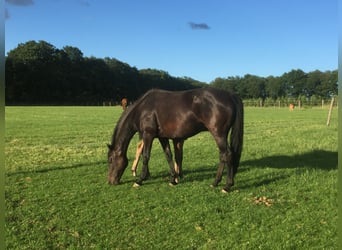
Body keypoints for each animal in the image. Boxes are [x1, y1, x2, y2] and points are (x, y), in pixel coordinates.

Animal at [107, 87, 243, 192]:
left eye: (110, 160)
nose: (110, 182)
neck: (142, 109)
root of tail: (230, 95)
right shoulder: (162, 137)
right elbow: (169, 156)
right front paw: (173, 179)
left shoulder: (148, 135)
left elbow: (145, 157)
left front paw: (139, 180)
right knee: (222, 155)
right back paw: (215, 182)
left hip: (218, 134)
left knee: (227, 155)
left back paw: (227, 186)